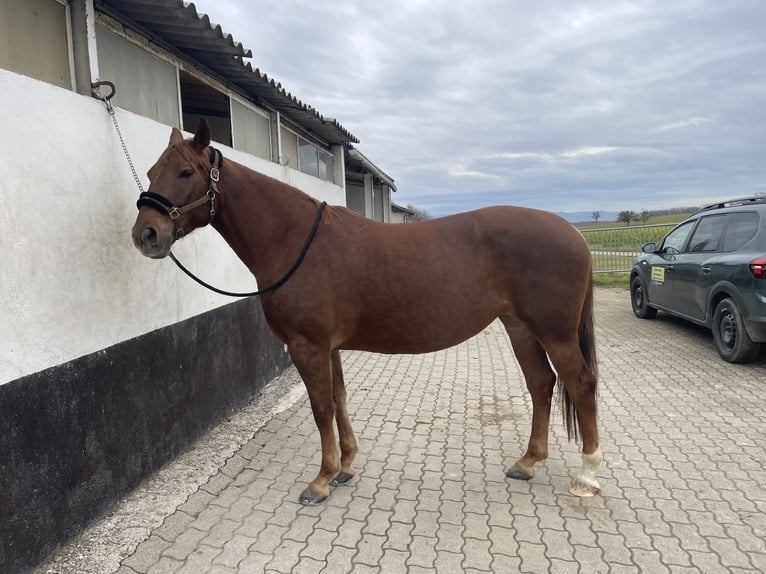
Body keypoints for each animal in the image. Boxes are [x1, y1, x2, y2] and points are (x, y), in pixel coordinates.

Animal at [131, 119, 602, 505]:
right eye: (152, 172)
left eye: (186, 173)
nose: (146, 235)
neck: (295, 240)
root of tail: (574, 232)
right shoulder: (329, 347)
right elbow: (339, 399)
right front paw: (345, 467)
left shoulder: (307, 346)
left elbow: (321, 407)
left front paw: (320, 480)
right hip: (520, 327)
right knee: (541, 384)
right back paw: (527, 462)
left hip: (555, 333)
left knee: (580, 385)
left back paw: (587, 476)